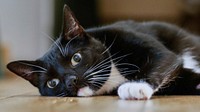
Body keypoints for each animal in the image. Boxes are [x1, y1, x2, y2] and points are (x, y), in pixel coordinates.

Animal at [6, 4, 200, 100]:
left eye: (76, 58)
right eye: (52, 83)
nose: (71, 81)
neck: (114, 75)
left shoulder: (130, 36)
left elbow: (164, 58)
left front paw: (135, 85)